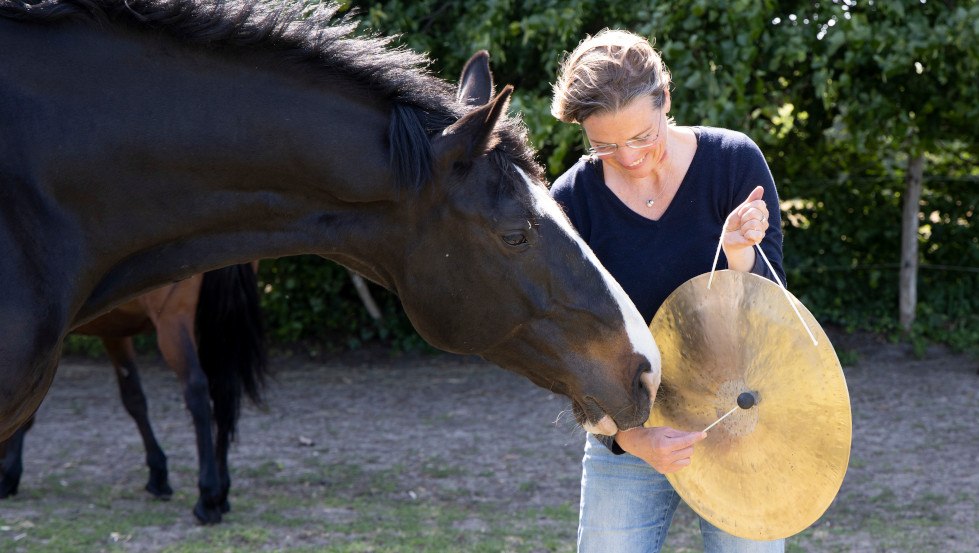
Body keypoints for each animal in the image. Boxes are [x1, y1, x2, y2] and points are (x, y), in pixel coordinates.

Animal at [0, 264, 268, 520]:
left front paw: (9, 472)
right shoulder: (113, 333)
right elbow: (134, 397)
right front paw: (158, 473)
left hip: (173, 324)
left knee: (197, 391)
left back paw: (208, 497)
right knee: (224, 393)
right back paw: (222, 492)